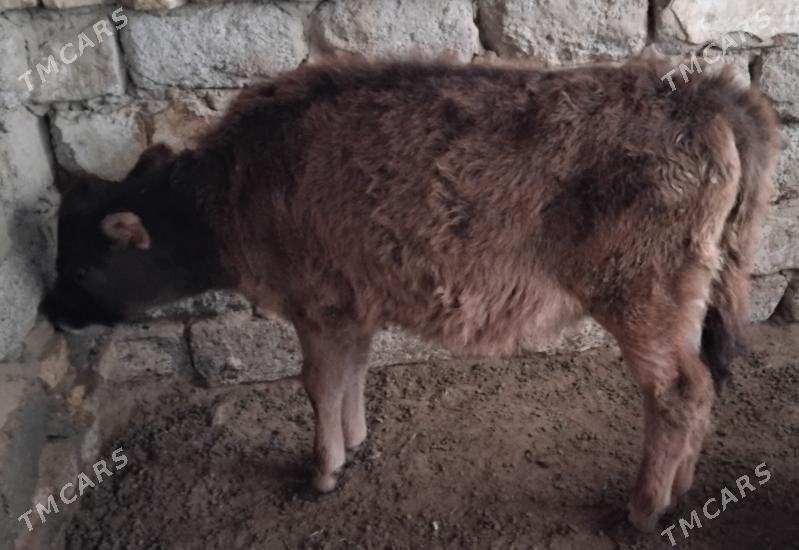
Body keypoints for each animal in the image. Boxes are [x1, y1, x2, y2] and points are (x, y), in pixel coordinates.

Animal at [42, 55, 781, 532]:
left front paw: (321, 472)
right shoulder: (351, 308)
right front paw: (356, 443)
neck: (233, 187)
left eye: (80, 269)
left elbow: (317, 384)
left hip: (643, 299)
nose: (51, 310)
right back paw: (679, 494)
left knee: (678, 392)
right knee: (701, 385)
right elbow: (350, 377)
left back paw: (642, 511)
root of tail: (705, 93)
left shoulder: (317, 308)